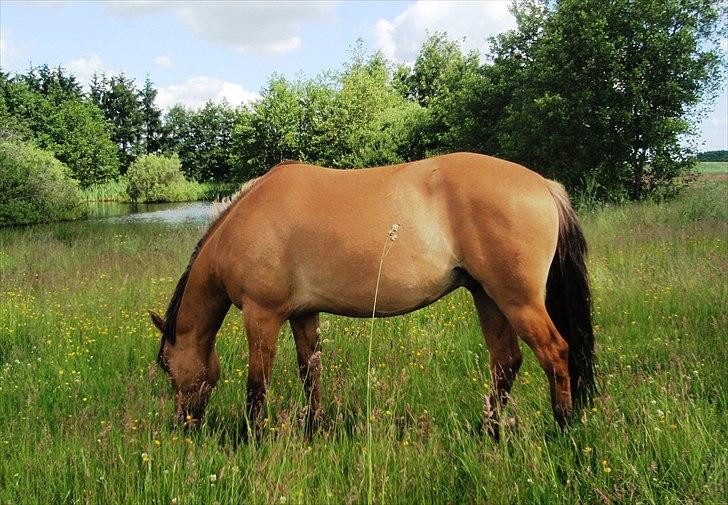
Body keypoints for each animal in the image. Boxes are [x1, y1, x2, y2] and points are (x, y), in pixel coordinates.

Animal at [151, 151, 596, 438]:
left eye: (168, 367)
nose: (183, 426)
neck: (241, 225)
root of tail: (544, 184)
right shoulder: (302, 314)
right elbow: (310, 372)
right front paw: (314, 427)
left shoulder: (261, 315)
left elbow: (257, 384)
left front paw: (251, 437)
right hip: (488, 297)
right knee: (505, 362)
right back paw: (488, 431)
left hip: (517, 301)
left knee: (555, 353)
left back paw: (562, 428)